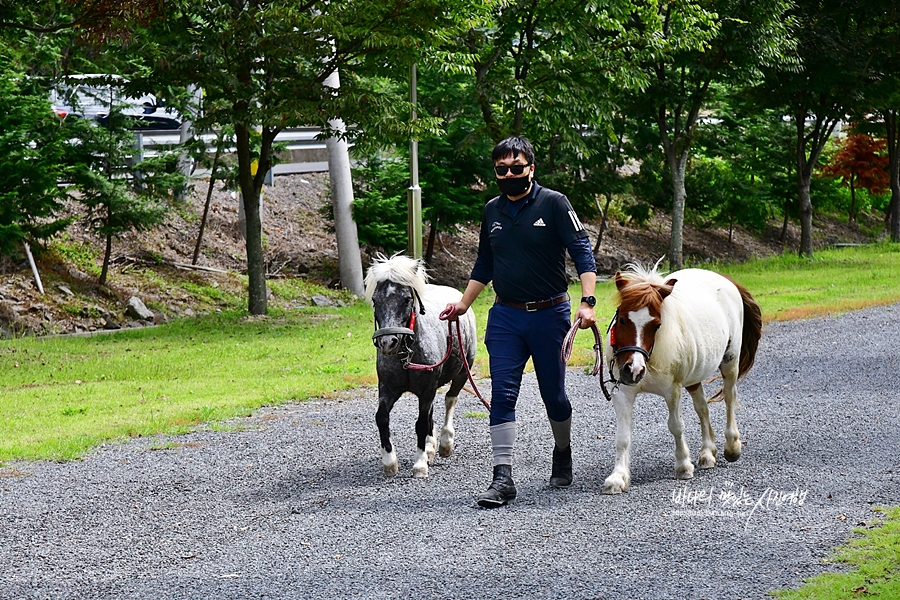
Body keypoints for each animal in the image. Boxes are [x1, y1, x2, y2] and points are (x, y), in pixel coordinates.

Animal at [604, 262, 760, 492]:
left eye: (657, 325)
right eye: (622, 319)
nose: (634, 369)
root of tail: (725, 280)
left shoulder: (672, 391)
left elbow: (676, 426)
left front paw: (683, 466)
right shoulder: (623, 393)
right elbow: (622, 436)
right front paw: (617, 478)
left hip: (730, 361)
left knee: (730, 398)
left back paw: (732, 446)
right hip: (695, 378)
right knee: (702, 408)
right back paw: (707, 453)